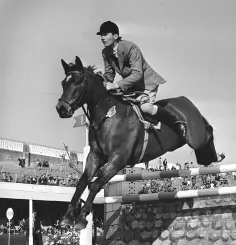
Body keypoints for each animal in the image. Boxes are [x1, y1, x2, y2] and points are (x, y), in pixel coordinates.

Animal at [55, 56, 225, 231]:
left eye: (79, 81)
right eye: (63, 83)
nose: (61, 109)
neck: (108, 117)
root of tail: (186, 101)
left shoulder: (118, 160)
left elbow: (95, 184)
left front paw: (82, 217)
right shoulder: (95, 156)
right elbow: (82, 182)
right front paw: (68, 217)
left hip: (195, 136)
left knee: (208, 132)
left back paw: (216, 156)